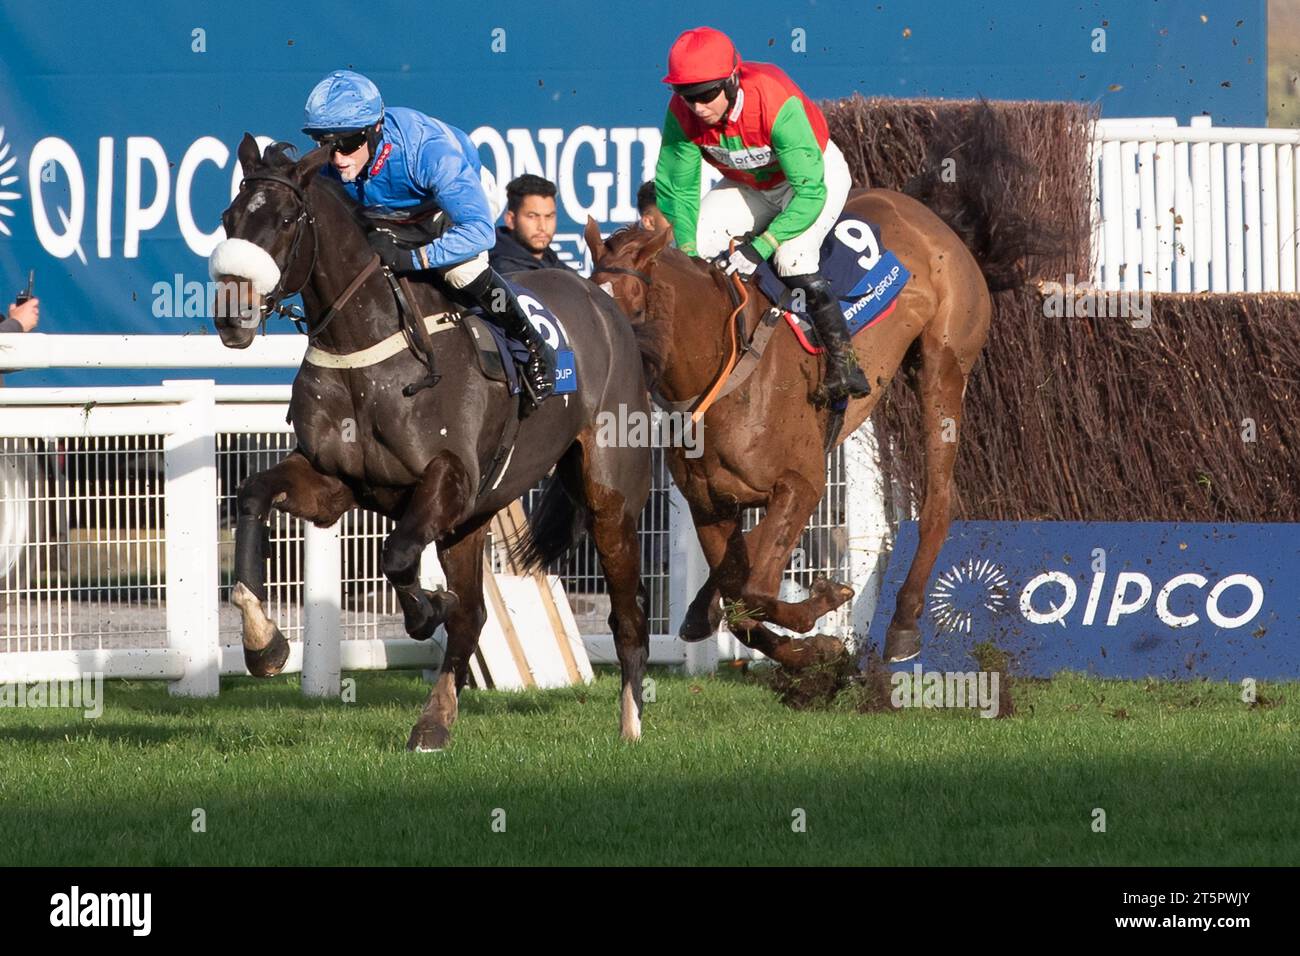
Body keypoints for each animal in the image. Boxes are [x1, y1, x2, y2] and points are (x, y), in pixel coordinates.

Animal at [215, 134, 660, 749]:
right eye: (228, 219)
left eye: (284, 220)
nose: (230, 315)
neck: (369, 349)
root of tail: (600, 296)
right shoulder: (334, 483)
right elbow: (254, 495)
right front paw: (264, 643)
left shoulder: (449, 478)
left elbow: (398, 555)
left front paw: (426, 609)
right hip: (473, 518)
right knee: (473, 616)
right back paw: (434, 721)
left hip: (609, 497)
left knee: (628, 613)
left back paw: (631, 724)